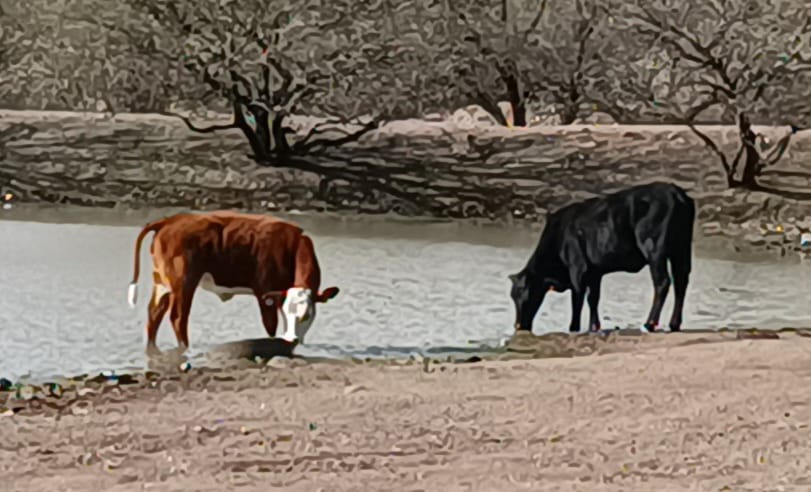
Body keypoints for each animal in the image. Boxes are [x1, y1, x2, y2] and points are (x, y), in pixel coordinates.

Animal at [126, 209, 340, 352]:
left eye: (306, 315)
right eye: (288, 313)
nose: (292, 339)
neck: (292, 248)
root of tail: (171, 220)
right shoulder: (266, 292)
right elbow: (270, 327)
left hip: (163, 282)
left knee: (154, 313)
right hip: (184, 282)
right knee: (178, 317)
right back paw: (185, 349)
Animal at [510, 183, 696, 336]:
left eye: (522, 293)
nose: (518, 327)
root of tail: (674, 191)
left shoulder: (577, 269)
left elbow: (577, 300)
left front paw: (573, 329)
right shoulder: (595, 272)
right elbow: (593, 299)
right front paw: (594, 327)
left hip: (655, 248)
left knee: (663, 282)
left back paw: (648, 325)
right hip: (682, 248)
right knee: (681, 281)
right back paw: (674, 324)